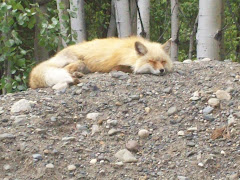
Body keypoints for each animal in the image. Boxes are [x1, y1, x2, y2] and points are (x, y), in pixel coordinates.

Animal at [29, 36, 172, 89]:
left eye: (163, 61)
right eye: (151, 61)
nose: (162, 70)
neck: (130, 52)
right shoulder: (117, 63)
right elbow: (125, 68)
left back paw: (77, 75)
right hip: (78, 61)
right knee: (65, 70)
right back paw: (74, 77)